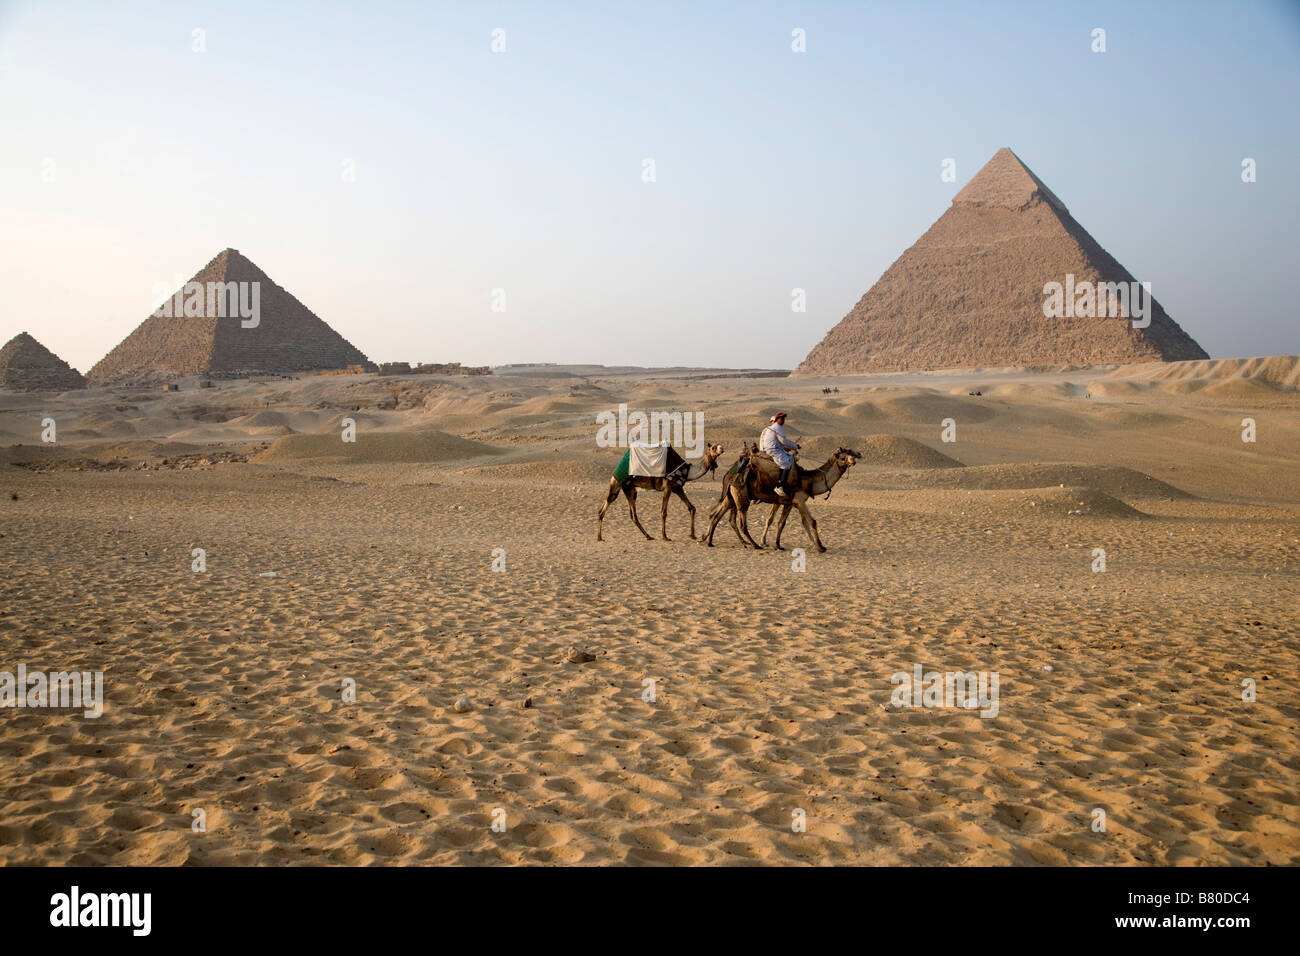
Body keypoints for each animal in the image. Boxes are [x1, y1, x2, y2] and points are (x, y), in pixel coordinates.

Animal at [707, 447, 857, 554]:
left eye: (852, 454)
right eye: (843, 457)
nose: (854, 461)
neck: (806, 480)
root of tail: (730, 472)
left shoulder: (790, 502)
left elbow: (783, 523)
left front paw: (778, 545)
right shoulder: (799, 499)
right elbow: (812, 521)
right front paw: (821, 547)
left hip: (731, 496)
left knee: (717, 516)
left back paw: (710, 541)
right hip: (741, 495)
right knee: (741, 523)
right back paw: (755, 545)